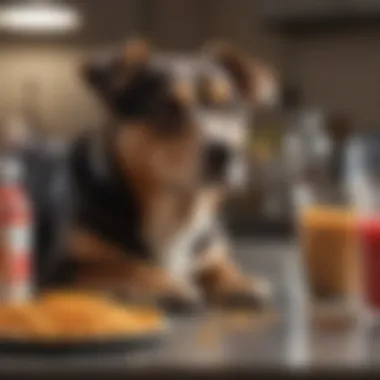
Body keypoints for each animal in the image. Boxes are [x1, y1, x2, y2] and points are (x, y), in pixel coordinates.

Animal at [53, 39, 278, 312]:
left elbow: (219, 263)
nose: (224, 153)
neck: (177, 212)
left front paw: (239, 282)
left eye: (228, 106)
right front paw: (167, 285)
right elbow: (123, 266)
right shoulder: (64, 264)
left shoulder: (210, 246)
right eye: (167, 108)